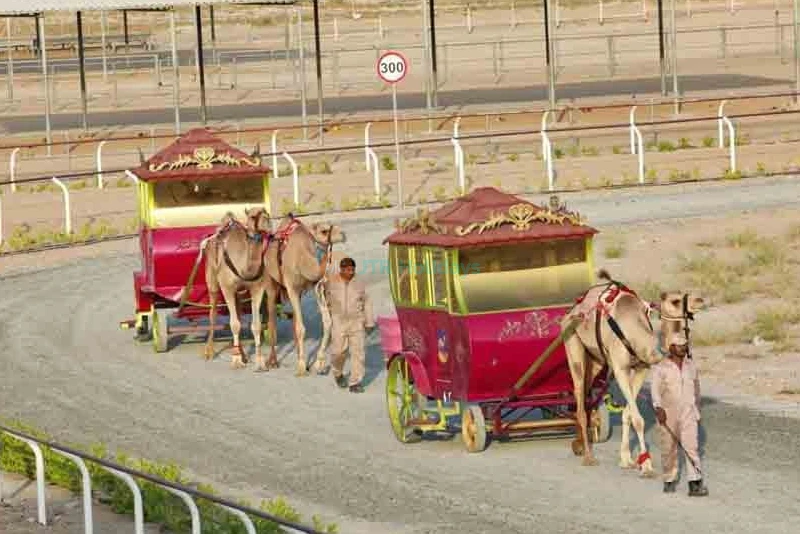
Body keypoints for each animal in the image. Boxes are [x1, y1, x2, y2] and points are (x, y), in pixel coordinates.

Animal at [203, 207, 276, 370]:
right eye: (253, 216)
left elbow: (255, 325)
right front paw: (236, 360)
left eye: (267, 214)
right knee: (213, 313)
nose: (268, 225)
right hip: (212, 280)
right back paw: (209, 352)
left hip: (239, 292)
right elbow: (234, 324)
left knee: (239, 312)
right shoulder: (227, 287)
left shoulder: (257, 287)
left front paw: (260, 361)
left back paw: (243, 354)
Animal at [262, 214, 344, 376]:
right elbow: (301, 327)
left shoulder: (316, 286)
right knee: (272, 319)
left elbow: (328, 323)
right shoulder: (291, 286)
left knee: (294, 320)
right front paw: (301, 366)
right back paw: (272, 361)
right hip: (271, 282)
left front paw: (318, 364)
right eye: (324, 231)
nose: (343, 234)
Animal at [564, 272, 708, 478]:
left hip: (596, 359)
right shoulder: (619, 368)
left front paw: (626, 459)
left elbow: (628, 413)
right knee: (579, 393)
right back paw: (588, 457)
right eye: (675, 301)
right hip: (572, 342)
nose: (700, 300)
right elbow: (638, 419)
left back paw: (579, 444)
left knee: (585, 395)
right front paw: (646, 466)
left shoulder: (641, 367)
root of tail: (573, 308)